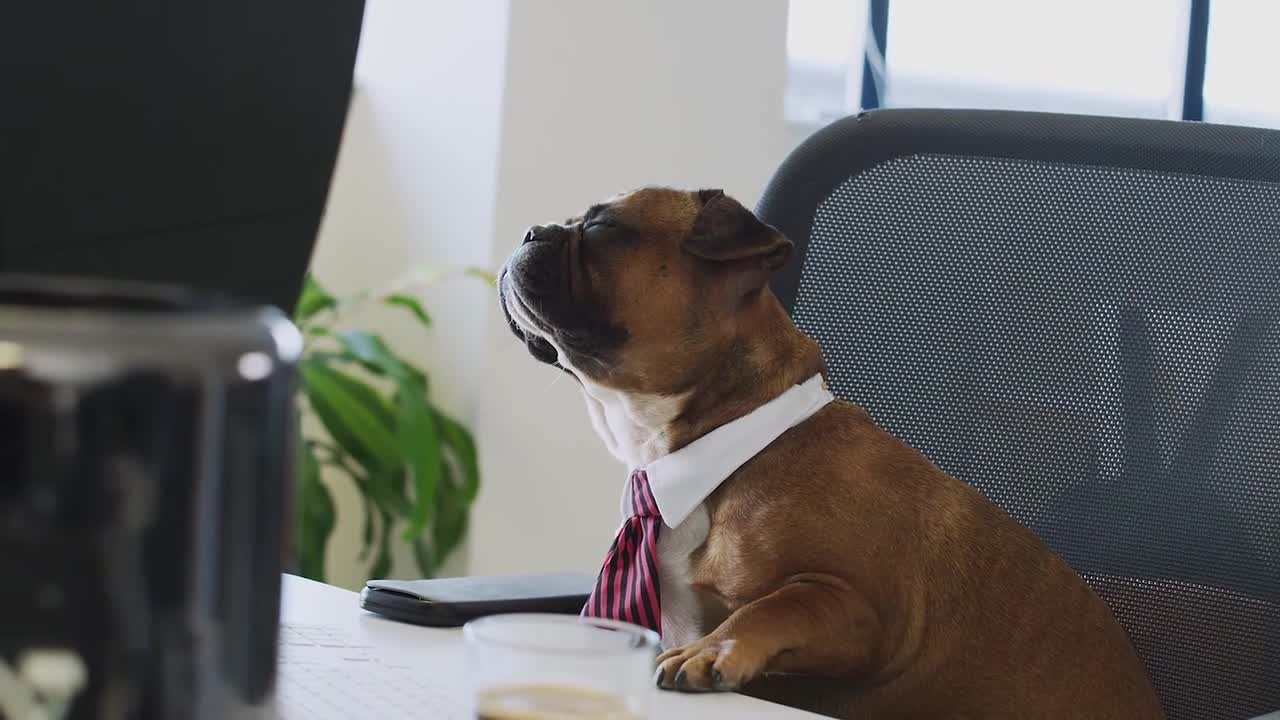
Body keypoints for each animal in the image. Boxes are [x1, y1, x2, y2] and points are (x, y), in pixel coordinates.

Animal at [499, 185, 1172, 717]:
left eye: (605, 229)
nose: (530, 230)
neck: (730, 448)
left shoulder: (854, 606)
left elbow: (772, 607)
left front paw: (715, 650)